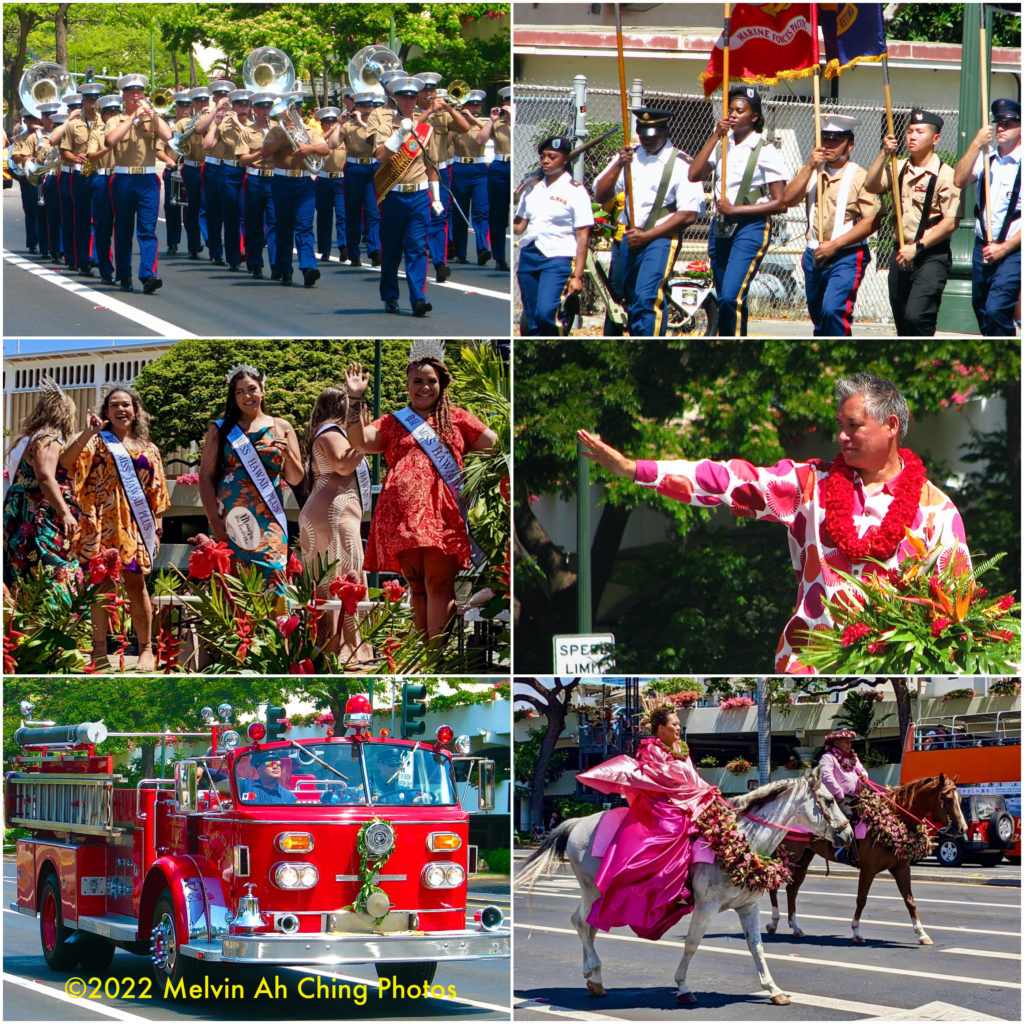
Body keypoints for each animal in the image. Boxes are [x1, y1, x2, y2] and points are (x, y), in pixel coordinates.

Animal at [516, 770, 851, 1003]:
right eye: (829, 800)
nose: (847, 835)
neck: (742, 841)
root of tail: (577, 823)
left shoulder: (748, 907)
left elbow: (756, 947)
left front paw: (774, 989)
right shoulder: (705, 906)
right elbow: (692, 944)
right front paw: (683, 987)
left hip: (599, 895)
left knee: (589, 925)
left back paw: (594, 977)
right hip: (592, 889)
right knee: (581, 923)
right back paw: (593, 973)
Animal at [770, 774, 966, 942]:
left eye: (961, 800)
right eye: (947, 799)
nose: (962, 828)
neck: (894, 819)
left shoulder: (901, 868)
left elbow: (910, 901)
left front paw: (922, 933)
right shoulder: (868, 869)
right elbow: (861, 899)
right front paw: (856, 932)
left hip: (804, 857)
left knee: (792, 889)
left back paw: (796, 927)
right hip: (790, 854)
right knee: (775, 883)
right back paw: (773, 922)